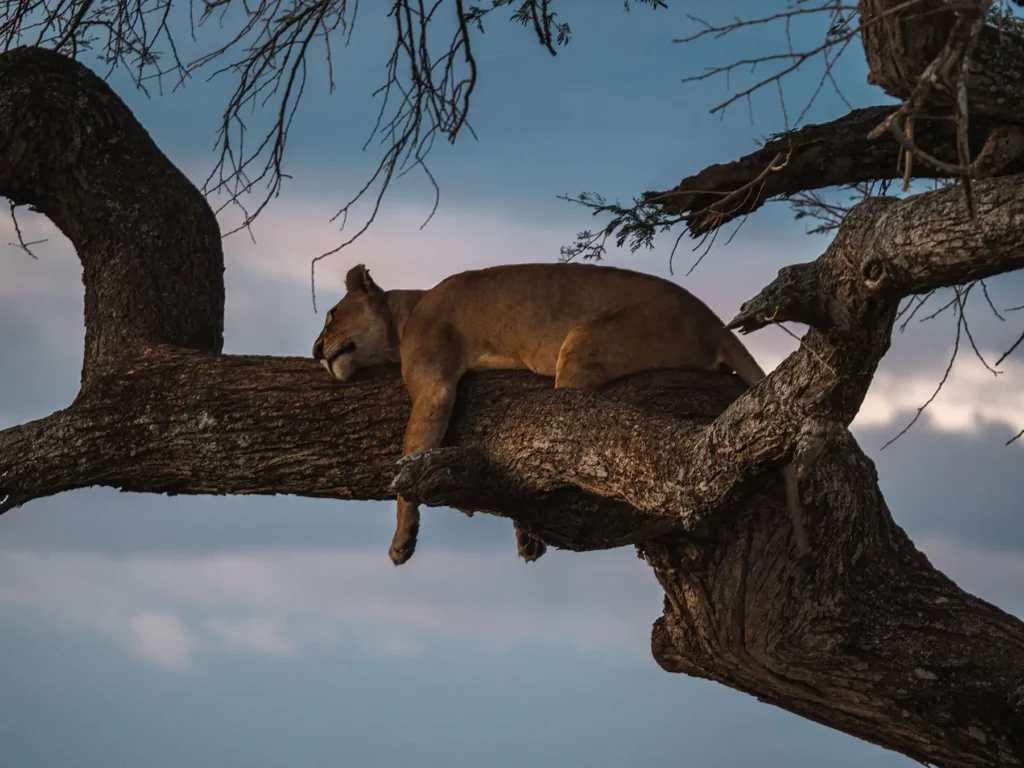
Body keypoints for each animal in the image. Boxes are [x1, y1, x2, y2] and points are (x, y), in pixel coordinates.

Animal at [313, 262, 808, 566]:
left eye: (332, 315)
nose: (316, 350)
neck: (406, 312)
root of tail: (712, 320)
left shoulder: (434, 385)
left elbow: (408, 464)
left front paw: (402, 541)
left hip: (583, 343)